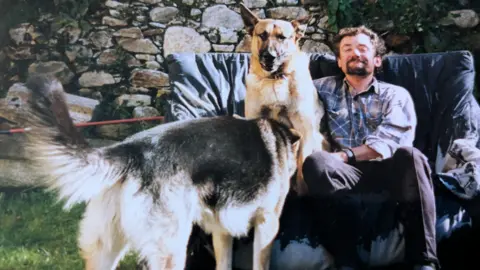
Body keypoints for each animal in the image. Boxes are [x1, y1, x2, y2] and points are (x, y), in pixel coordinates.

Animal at [19, 74, 304, 270]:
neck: (278, 132)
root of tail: (131, 149)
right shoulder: (267, 224)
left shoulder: (221, 231)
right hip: (171, 249)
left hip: (106, 249)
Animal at [240, 3, 360, 195]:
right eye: (262, 35)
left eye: (282, 37)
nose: (269, 56)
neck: (276, 79)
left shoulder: (304, 132)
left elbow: (302, 173)